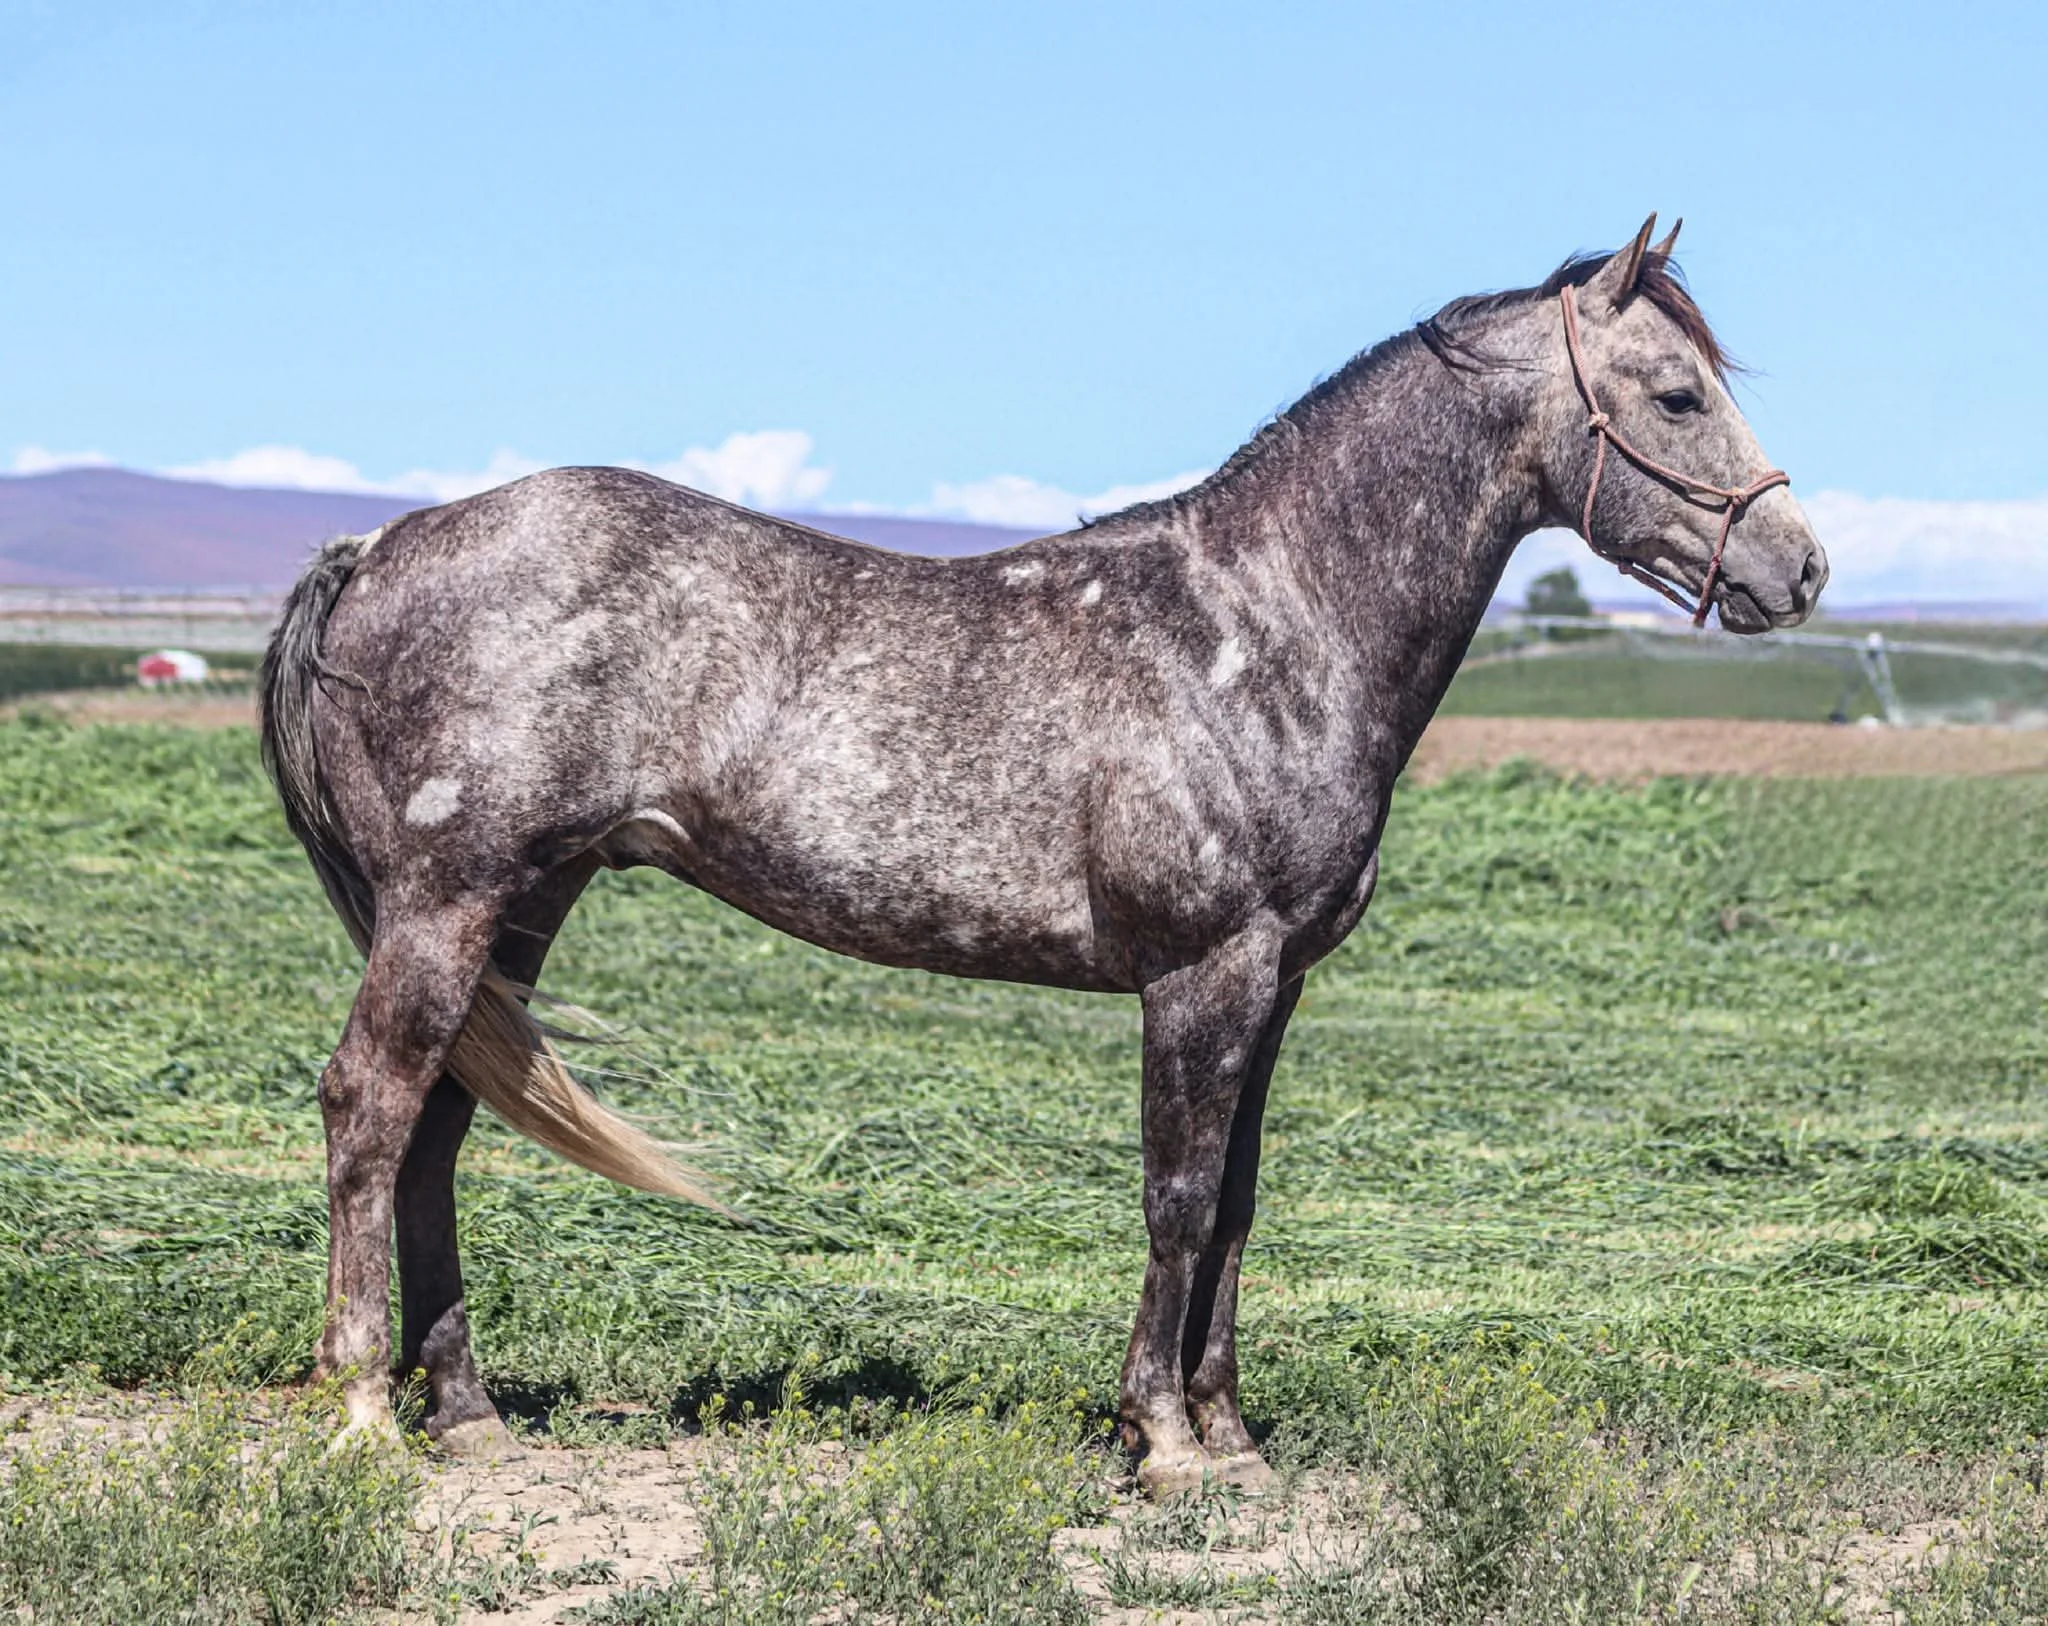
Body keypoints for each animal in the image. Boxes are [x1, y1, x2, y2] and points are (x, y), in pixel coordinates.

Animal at [260, 216, 1826, 1492]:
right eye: (1677, 394)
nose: (1800, 568)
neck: (1259, 625)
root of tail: (379, 543)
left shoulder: (1275, 987)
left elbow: (1237, 1201)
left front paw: (1231, 1436)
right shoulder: (1202, 974)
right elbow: (1177, 1198)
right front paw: (1166, 1442)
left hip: (523, 908)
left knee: (440, 1131)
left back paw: (468, 1417)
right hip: (446, 905)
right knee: (368, 1107)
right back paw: (361, 1411)